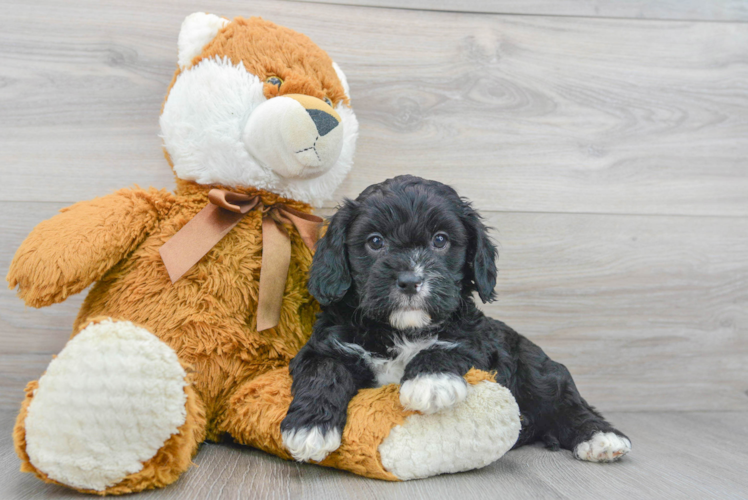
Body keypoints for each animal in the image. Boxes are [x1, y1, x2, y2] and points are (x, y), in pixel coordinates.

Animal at [280, 177, 632, 464]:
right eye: (375, 241)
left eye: (440, 240)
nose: (410, 280)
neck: (402, 330)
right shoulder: (325, 345)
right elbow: (324, 371)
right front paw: (309, 428)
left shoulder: (478, 340)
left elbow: (449, 345)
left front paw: (430, 382)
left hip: (534, 367)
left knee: (561, 397)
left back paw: (601, 438)